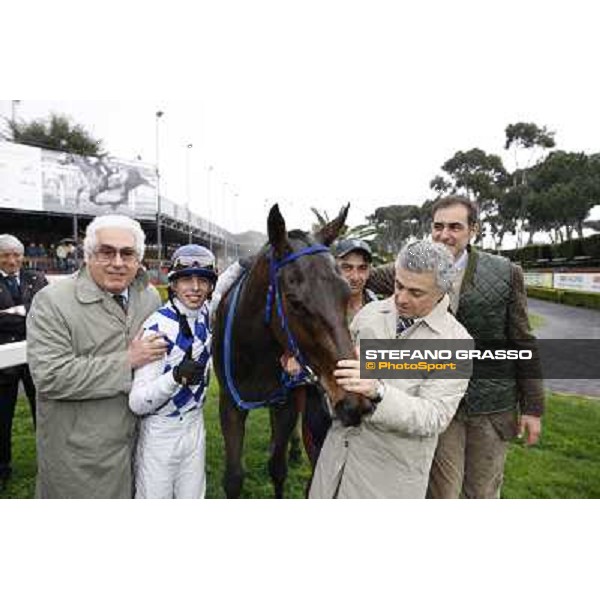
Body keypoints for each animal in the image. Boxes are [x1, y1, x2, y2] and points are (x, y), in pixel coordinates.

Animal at [213, 204, 376, 500]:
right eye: (295, 302)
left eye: (346, 293)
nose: (356, 402)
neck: (257, 353)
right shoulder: (230, 403)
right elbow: (233, 478)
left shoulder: (286, 400)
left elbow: (277, 467)